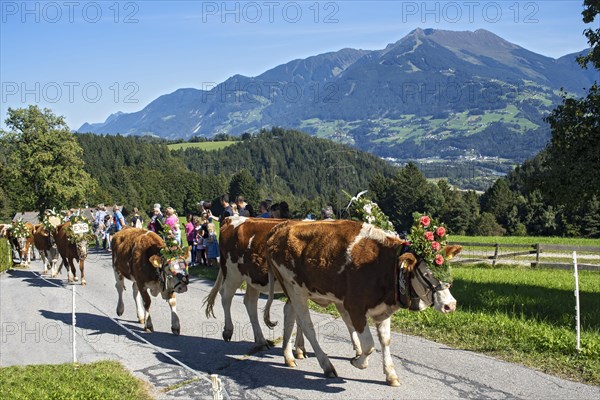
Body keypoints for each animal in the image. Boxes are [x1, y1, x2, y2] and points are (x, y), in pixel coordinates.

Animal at [204, 217, 308, 354]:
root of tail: (231, 218)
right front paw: (299, 348)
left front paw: (300, 348)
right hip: (232, 272)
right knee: (226, 297)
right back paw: (228, 330)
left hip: (252, 279)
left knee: (250, 302)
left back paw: (261, 341)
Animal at [262, 220, 460, 386]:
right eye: (426, 274)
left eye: (448, 270)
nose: (451, 305)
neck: (384, 266)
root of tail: (282, 227)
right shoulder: (354, 307)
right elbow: (370, 345)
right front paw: (359, 362)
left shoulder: (383, 309)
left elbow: (385, 341)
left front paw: (391, 375)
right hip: (295, 289)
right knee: (307, 325)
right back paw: (326, 366)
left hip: (296, 292)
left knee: (289, 314)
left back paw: (289, 356)